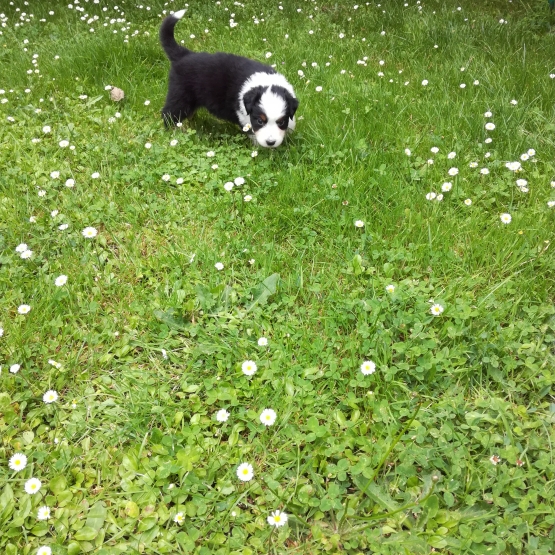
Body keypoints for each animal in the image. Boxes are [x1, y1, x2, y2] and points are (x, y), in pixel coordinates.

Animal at [160, 11, 300, 150]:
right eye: (260, 121)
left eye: (281, 121)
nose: (270, 142)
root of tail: (184, 55)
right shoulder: (244, 116)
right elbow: (252, 131)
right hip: (180, 96)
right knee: (169, 113)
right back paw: (173, 132)